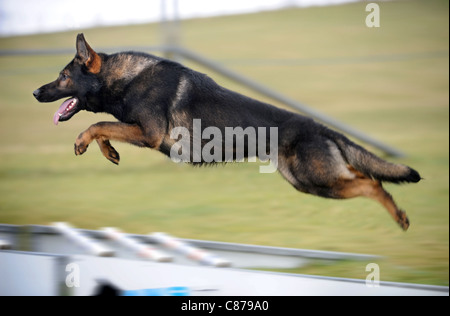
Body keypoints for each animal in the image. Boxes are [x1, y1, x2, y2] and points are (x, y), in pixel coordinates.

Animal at [35, 34, 422, 231]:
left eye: (64, 77)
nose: (36, 92)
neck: (125, 79)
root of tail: (321, 127)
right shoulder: (140, 131)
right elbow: (105, 127)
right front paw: (108, 151)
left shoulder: (149, 133)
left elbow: (98, 123)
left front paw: (84, 141)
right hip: (312, 182)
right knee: (364, 174)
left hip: (315, 179)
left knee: (372, 182)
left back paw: (400, 216)